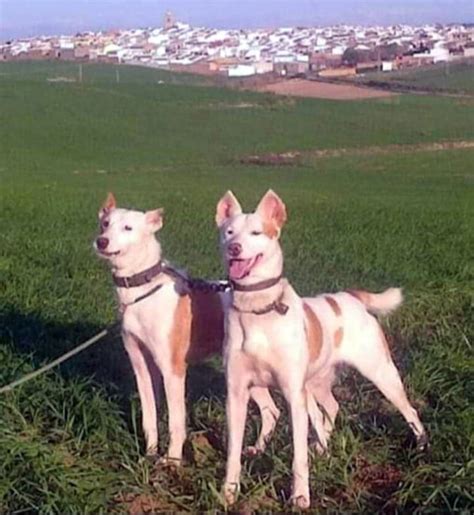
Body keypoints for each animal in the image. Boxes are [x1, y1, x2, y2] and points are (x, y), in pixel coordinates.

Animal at [94, 192, 282, 464]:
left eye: (128, 228)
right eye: (105, 223)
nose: (101, 241)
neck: (143, 291)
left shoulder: (173, 369)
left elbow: (176, 422)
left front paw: (172, 460)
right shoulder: (141, 367)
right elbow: (149, 419)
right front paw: (149, 454)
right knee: (271, 410)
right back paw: (258, 450)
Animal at [217, 188, 428, 508]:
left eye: (256, 232)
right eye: (228, 232)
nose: (234, 248)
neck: (258, 309)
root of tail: (351, 296)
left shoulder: (293, 394)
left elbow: (298, 457)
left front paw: (300, 496)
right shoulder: (238, 392)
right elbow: (232, 452)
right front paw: (229, 492)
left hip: (381, 373)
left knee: (409, 409)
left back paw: (421, 445)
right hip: (314, 383)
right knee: (331, 406)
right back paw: (321, 447)